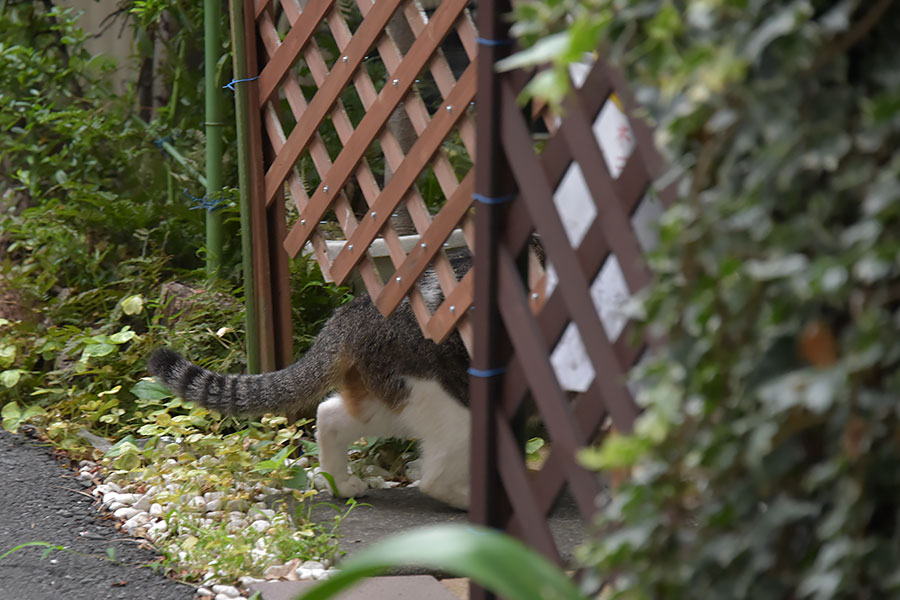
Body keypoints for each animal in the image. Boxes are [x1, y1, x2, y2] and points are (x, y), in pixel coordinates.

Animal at [148, 260, 472, 508]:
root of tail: (358, 308)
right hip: (446, 399)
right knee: (435, 477)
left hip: (399, 399)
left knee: (329, 414)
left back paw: (339, 483)